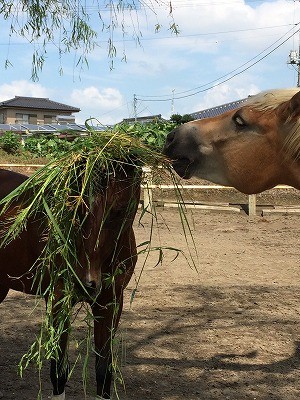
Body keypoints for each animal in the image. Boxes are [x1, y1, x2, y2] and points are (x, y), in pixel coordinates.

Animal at [0, 166, 141, 400]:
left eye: (119, 210)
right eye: (76, 206)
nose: (85, 282)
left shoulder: (110, 304)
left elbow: (104, 370)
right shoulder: (59, 300)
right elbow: (58, 369)